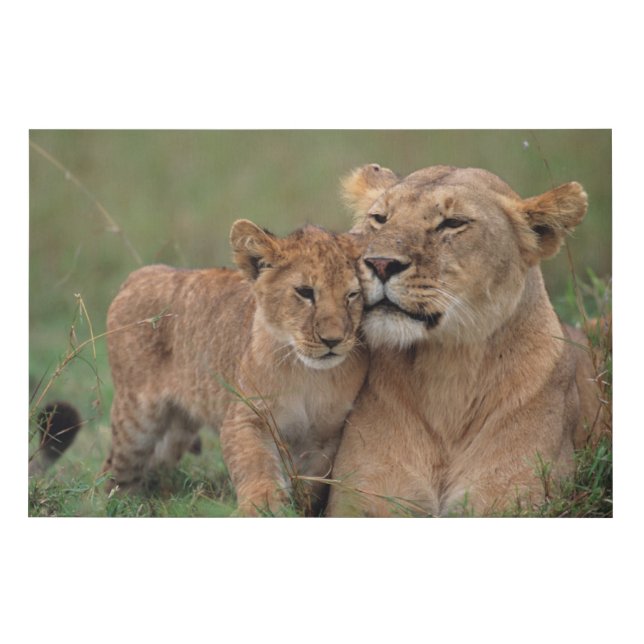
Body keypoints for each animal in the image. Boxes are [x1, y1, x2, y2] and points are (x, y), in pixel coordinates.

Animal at [103, 220, 368, 515]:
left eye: (352, 295)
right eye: (305, 292)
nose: (333, 340)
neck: (308, 374)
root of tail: (140, 274)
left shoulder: (326, 436)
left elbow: (310, 484)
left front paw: (298, 507)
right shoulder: (246, 416)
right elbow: (255, 465)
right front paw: (264, 507)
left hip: (177, 430)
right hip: (136, 420)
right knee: (114, 469)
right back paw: (109, 503)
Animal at [327, 163, 604, 517]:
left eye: (453, 222)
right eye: (379, 218)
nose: (380, 264)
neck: (448, 370)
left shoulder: (512, 499)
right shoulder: (361, 499)